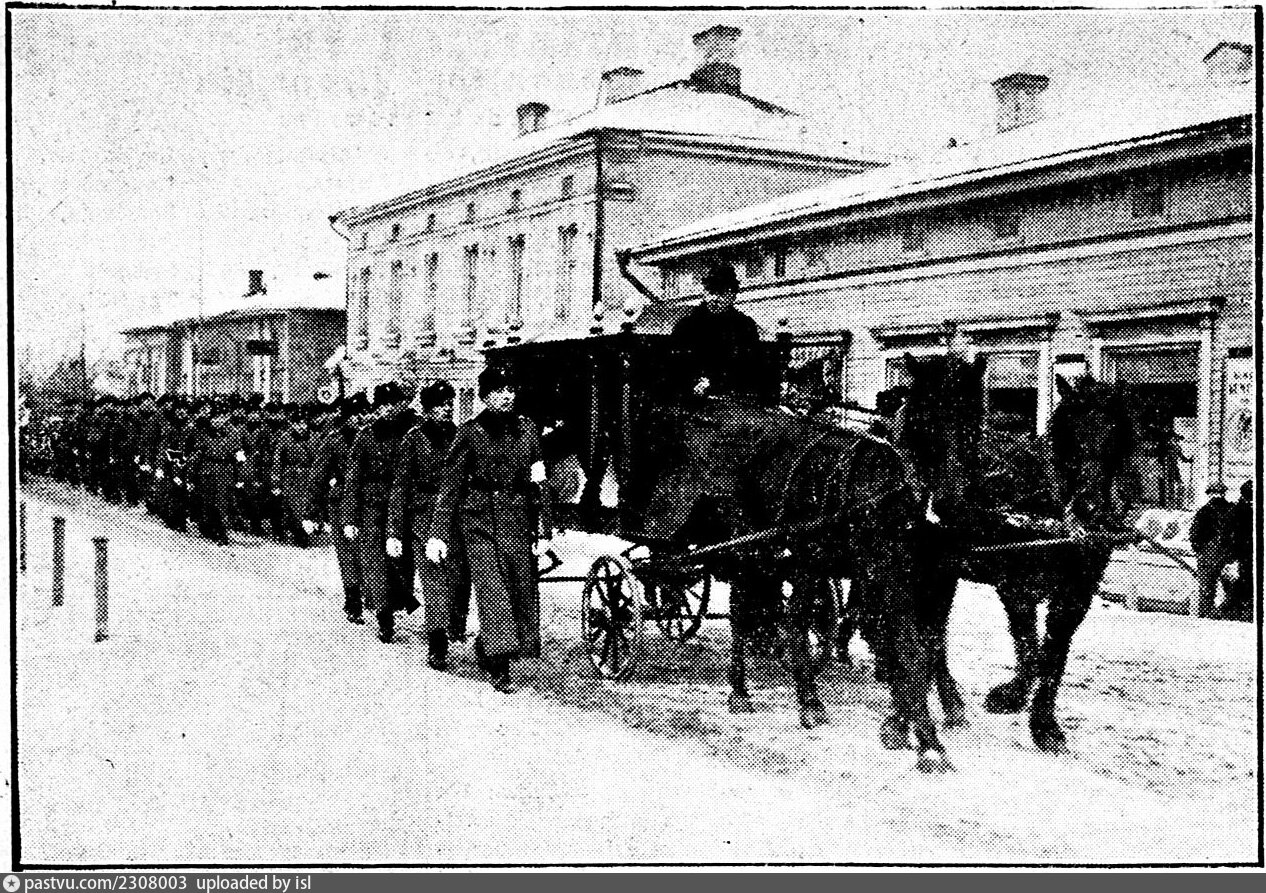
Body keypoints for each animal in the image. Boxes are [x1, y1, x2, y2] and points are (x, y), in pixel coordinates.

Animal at [642, 396, 953, 772]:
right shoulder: (865, 568)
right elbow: (897, 643)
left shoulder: (902, 577)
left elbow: (913, 647)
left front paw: (916, 734)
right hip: (750, 547)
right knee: (745, 610)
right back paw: (743, 690)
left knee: (768, 608)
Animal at [888, 353, 1138, 751]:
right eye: (1068, 435)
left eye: (1117, 433)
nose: (1090, 507)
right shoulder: (1011, 585)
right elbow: (1026, 644)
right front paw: (1015, 697)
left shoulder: (1074, 594)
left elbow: (1051, 653)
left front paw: (1041, 719)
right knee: (929, 630)